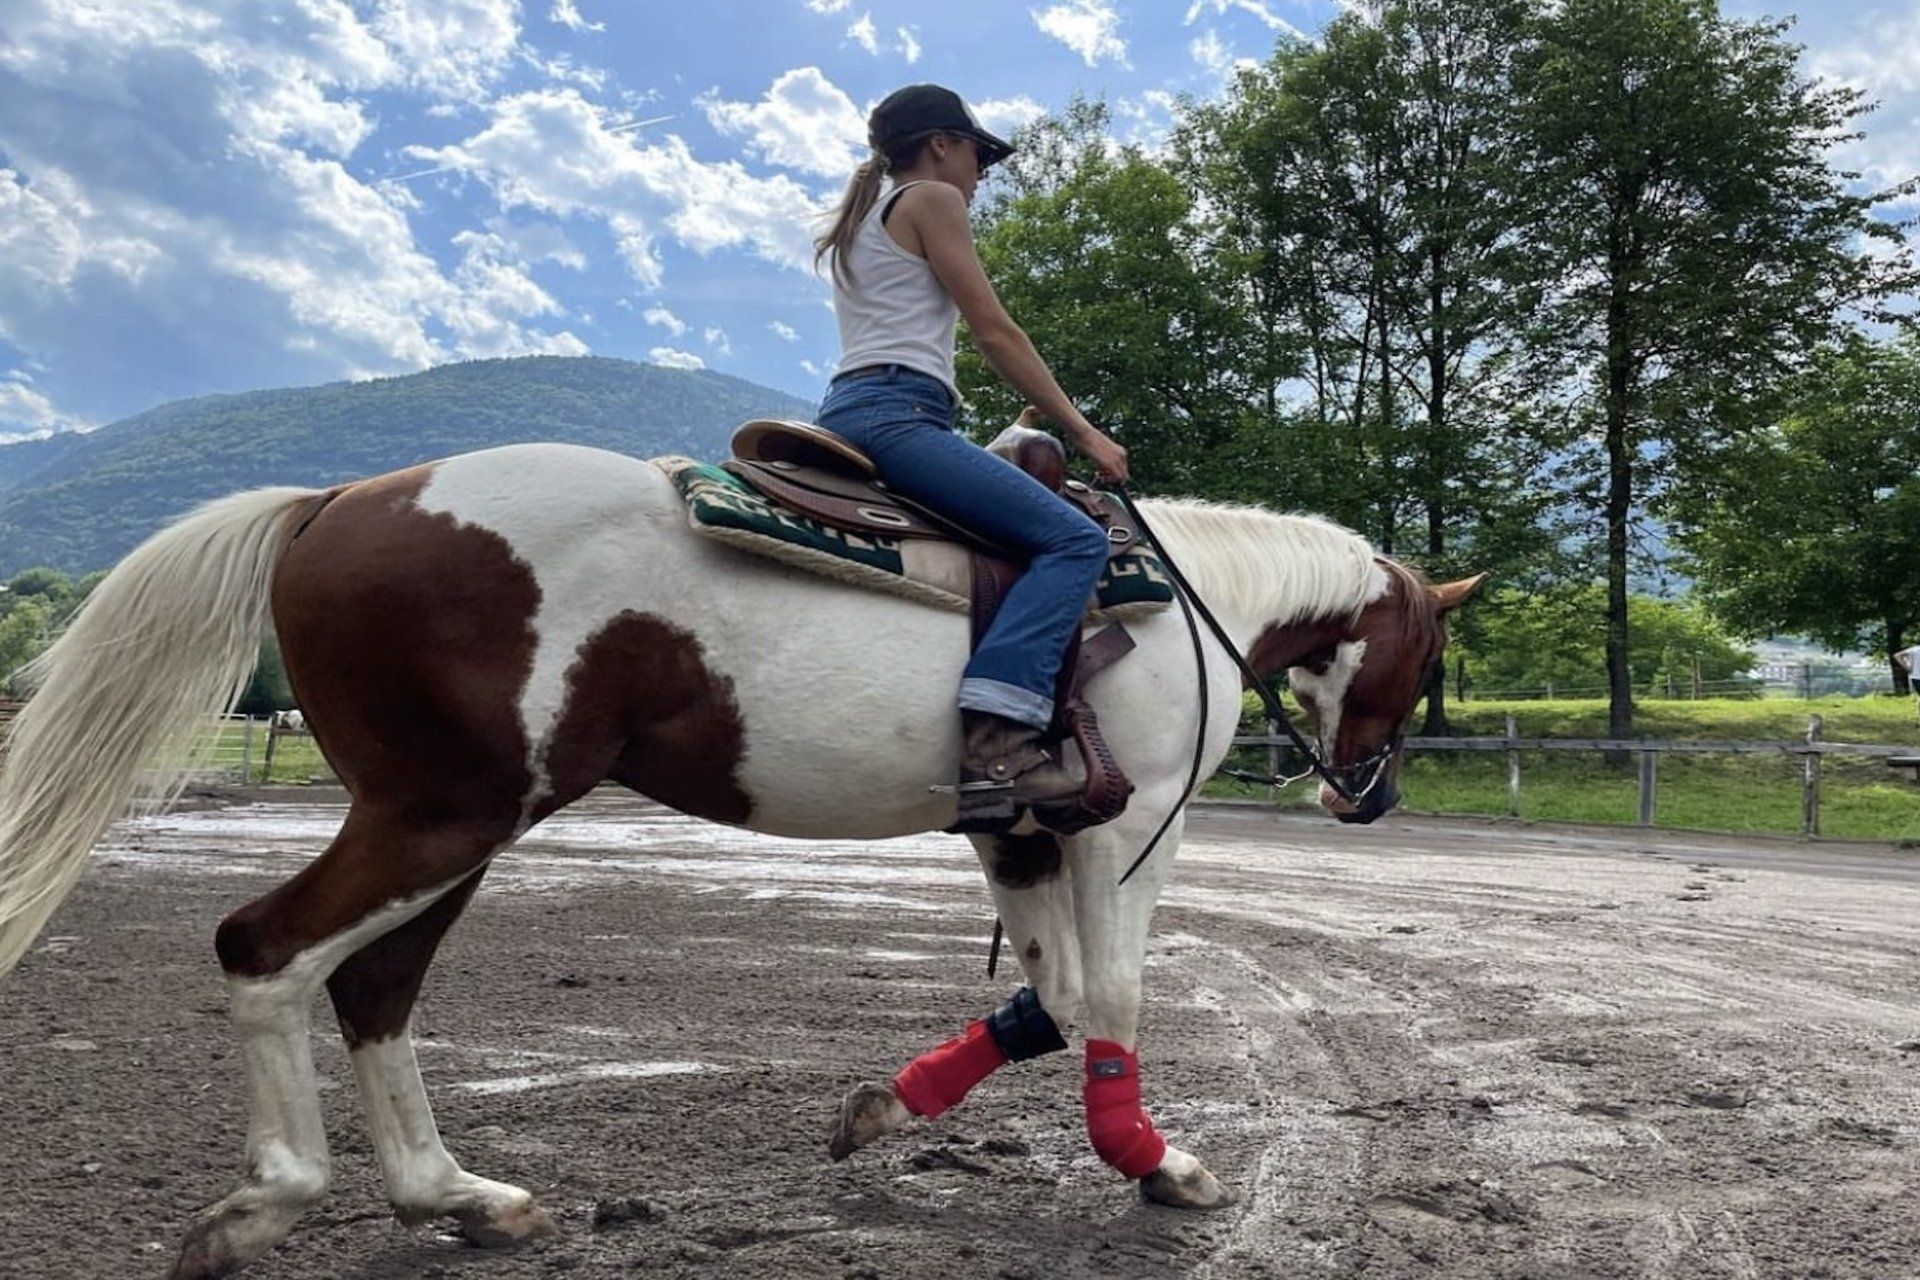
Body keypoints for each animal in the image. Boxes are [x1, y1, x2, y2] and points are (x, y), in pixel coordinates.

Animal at [0, 441, 1480, 1278]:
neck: (1189, 600)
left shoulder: (1015, 831)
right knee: (265, 948)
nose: (1371, 797)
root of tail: (335, 501)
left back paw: (457, 1196)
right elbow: (1110, 998)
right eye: (1425, 657)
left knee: (374, 987)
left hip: (454, 821)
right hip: (437, 816)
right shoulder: (1126, 827)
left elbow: (1051, 999)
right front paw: (1157, 1165)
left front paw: (883, 1109)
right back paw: (274, 1201)